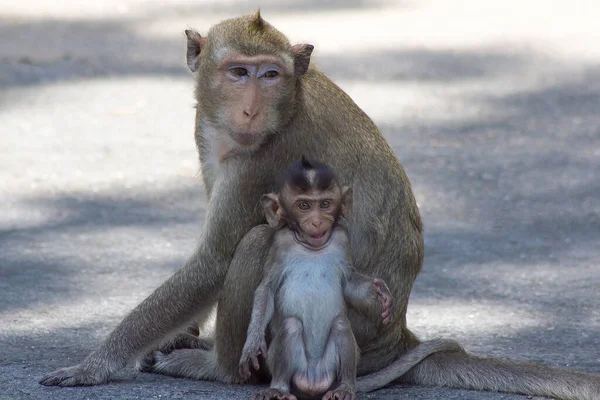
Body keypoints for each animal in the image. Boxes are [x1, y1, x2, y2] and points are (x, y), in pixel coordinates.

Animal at [237, 157, 396, 400]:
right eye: (304, 206)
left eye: (325, 204)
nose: (317, 222)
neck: (311, 247)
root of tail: (314, 381)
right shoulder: (280, 244)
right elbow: (267, 289)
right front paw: (253, 342)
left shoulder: (342, 239)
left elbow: (349, 284)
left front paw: (380, 294)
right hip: (291, 368)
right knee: (291, 326)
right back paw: (278, 389)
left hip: (330, 368)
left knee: (340, 324)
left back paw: (345, 388)